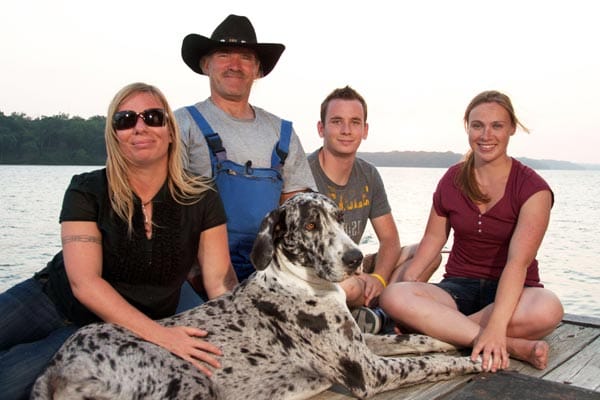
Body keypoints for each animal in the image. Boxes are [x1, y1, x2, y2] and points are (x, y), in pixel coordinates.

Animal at [31, 192, 482, 398]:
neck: (300, 282)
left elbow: (416, 339)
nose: (355, 258)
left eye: (338, 218)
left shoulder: (363, 345)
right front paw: (471, 360)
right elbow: (429, 362)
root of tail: (55, 365)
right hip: (190, 380)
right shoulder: (368, 372)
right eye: (311, 225)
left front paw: (452, 339)